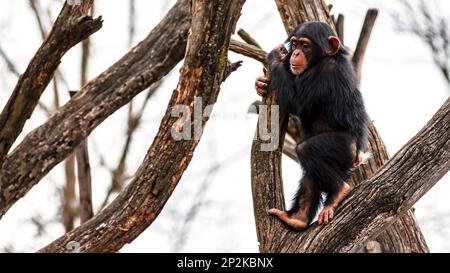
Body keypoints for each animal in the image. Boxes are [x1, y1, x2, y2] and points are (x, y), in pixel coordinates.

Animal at [255, 21, 370, 230]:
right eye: (295, 43)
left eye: (305, 45)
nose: (295, 53)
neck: (321, 60)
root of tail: (359, 156)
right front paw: (260, 84)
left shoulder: (325, 72)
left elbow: (296, 102)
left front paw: (276, 56)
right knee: (310, 174)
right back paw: (297, 218)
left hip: (344, 147)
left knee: (306, 150)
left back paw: (339, 192)